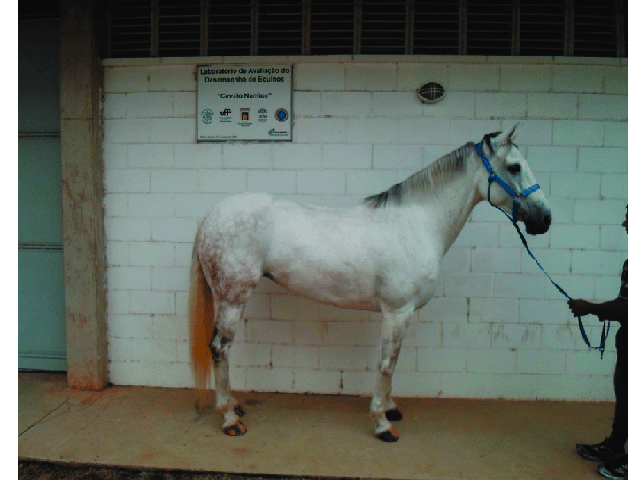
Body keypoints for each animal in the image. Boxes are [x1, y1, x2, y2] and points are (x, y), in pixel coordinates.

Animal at [188, 123, 552, 442]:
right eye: (515, 166)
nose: (544, 219)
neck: (417, 224)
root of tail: (211, 216)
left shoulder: (401, 314)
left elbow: (393, 361)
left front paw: (390, 409)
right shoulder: (397, 312)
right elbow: (387, 363)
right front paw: (382, 424)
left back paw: (234, 405)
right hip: (233, 298)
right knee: (220, 348)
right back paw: (229, 419)